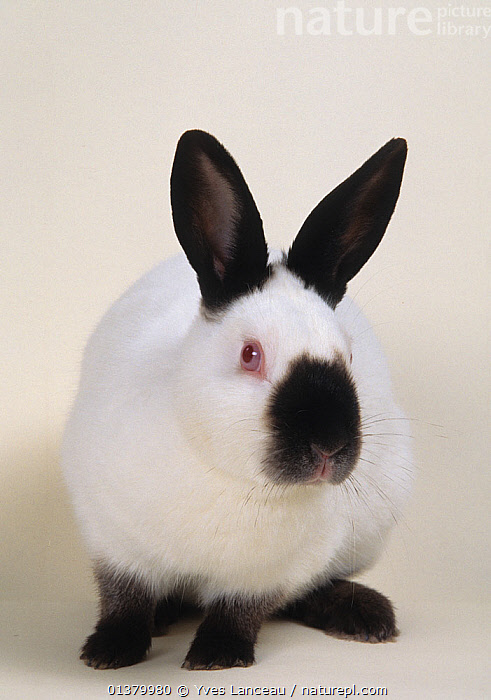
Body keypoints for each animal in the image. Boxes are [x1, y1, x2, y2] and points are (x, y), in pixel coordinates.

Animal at [62, 129, 413, 671]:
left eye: (349, 354)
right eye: (251, 355)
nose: (329, 446)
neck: (232, 478)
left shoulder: (270, 574)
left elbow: (242, 611)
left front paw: (216, 656)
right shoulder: (112, 539)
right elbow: (123, 596)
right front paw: (108, 652)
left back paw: (366, 617)